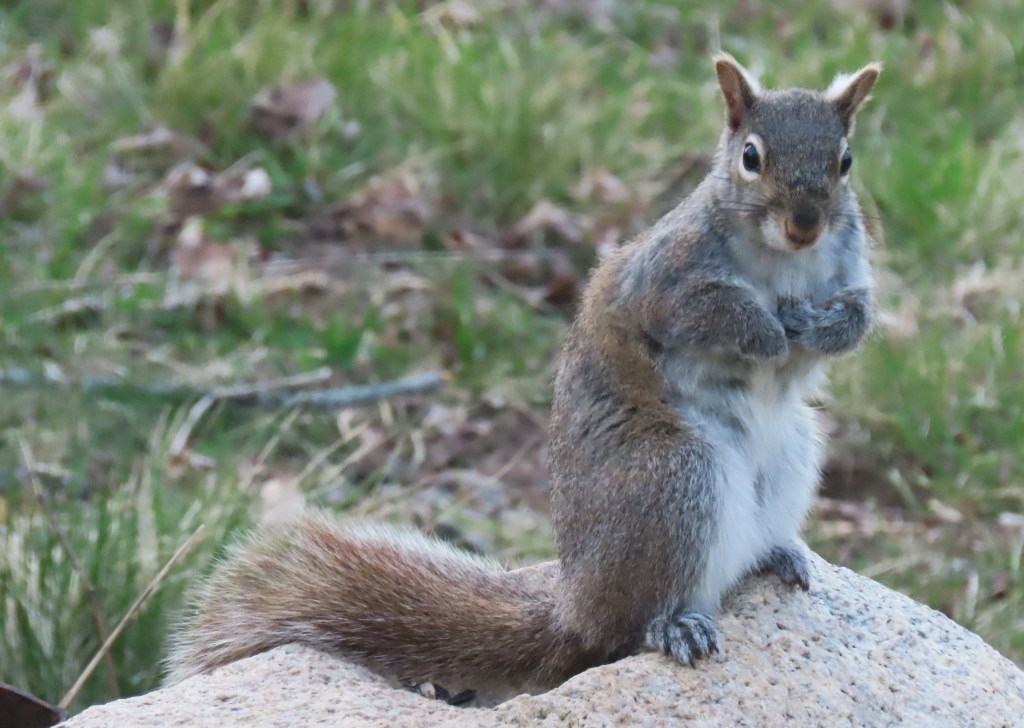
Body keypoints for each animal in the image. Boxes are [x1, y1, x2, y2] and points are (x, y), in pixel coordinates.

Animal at [165, 53, 881, 692]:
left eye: (845, 162)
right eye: (751, 157)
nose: (805, 223)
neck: (783, 261)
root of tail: (575, 608)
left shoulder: (849, 269)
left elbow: (859, 317)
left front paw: (820, 330)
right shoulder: (663, 280)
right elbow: (706, 311)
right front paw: (766, 332)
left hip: (789, 453)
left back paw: (776, 553)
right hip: (675, 479)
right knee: (632, 623)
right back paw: (673, 624)